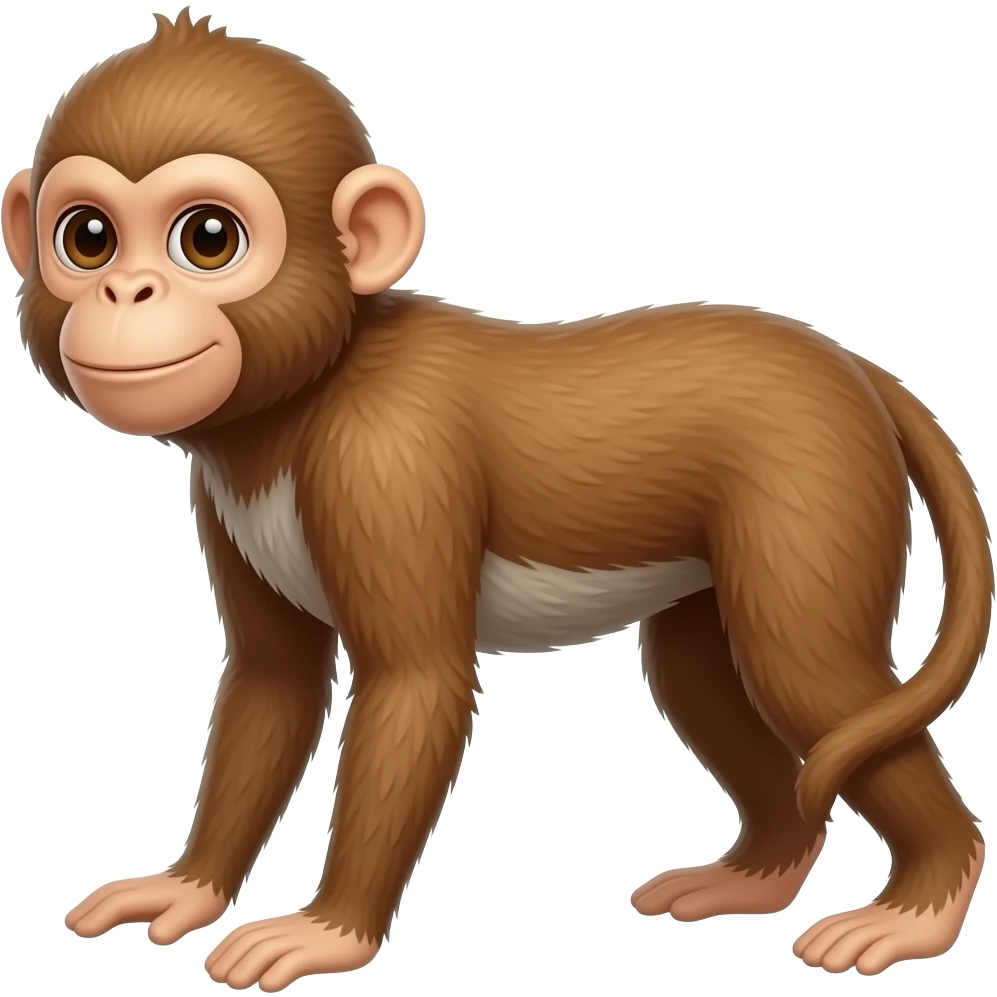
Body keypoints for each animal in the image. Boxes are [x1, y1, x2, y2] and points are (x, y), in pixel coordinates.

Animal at [4, 10, 991, 991]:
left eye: (207, 238)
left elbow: (414, 685)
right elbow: (272, 685)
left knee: (811, 675)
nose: (126, 290)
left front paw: (329, 930)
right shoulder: (224, 494)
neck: (305, 398)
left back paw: (918, 905)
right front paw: (187, 886)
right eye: (87, 238)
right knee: (703, 677)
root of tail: (854, 370)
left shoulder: (388, 460)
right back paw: (758, 872)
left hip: (812, 483)